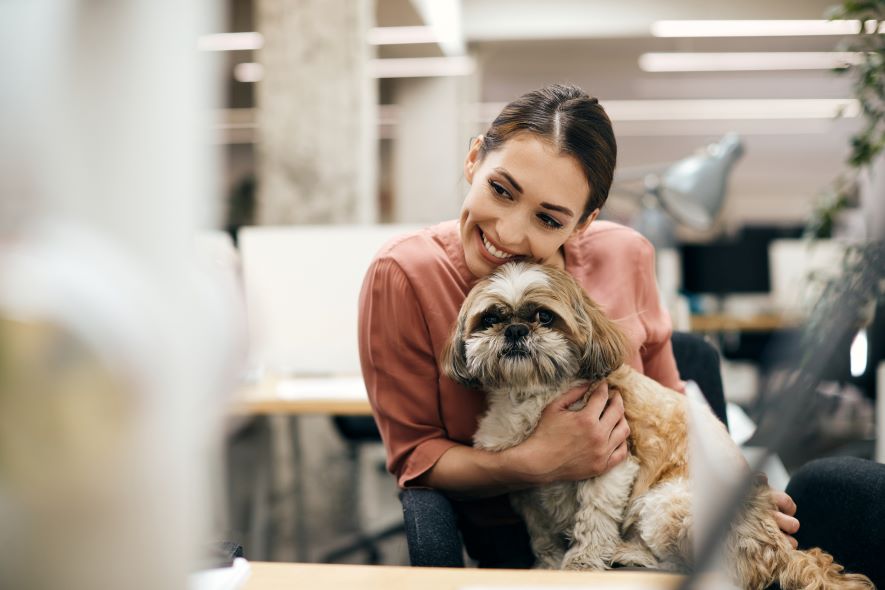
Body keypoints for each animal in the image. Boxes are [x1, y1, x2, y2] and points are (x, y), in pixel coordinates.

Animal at [440, 264, 872, 590]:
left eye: (544, 316)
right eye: (491, 318)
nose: (515, 330)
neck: (532, 396)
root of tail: (777, 550)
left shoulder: (612, 465)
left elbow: (594, 519)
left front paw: (582, 564)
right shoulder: (526, 485)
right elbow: (541, 533)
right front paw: (546, 566)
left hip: (667, 504)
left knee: (692, 568)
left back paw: (626, 553)